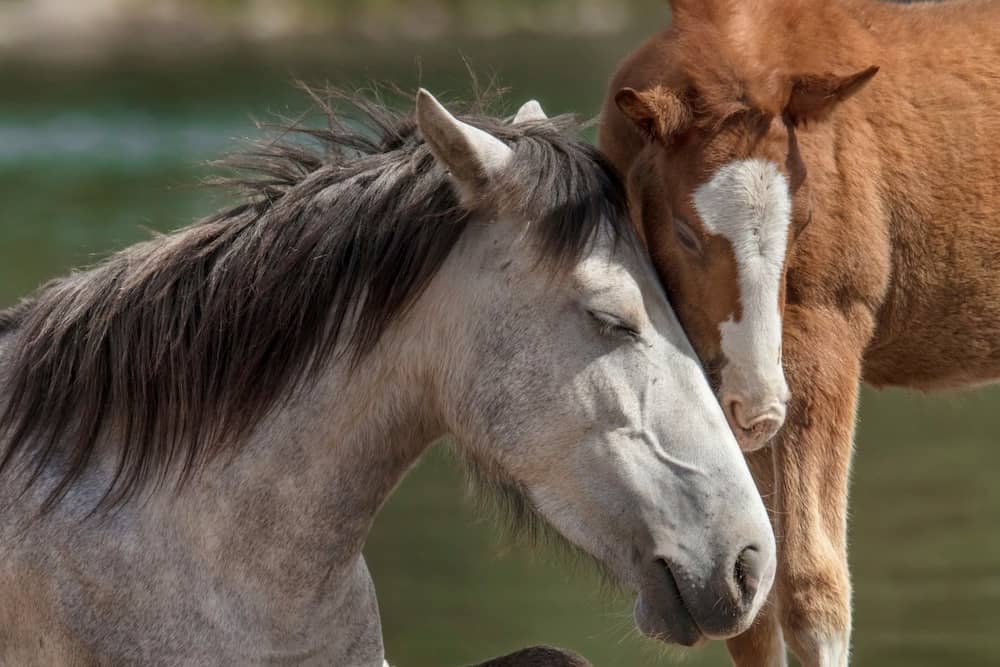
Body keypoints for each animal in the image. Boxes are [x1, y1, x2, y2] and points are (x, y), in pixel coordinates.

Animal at [599, 0, 1000, 664]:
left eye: (806, 220)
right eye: (683, 232)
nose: (759, 406)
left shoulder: (825, 338)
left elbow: (814, 589)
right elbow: (748, 597)